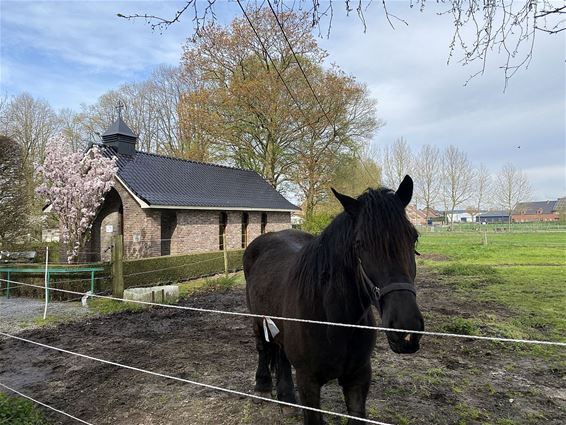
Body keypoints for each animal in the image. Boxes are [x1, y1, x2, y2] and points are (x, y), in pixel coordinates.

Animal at [244, 176, 426, 424]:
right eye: (359, 244)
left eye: (413, 237)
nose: (406, 328)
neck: (333, 320)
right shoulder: (308, 382)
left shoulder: (358, 378)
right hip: (257, 320)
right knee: (263, 348)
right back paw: (262, 388)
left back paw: (287, 400)